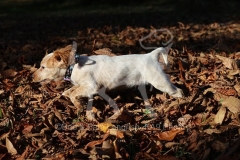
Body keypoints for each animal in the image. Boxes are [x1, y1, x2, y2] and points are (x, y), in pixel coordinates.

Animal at [32, 42, 183, 120]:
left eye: (42, 67)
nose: (32, 78)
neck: (73, 66)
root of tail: (150, 55)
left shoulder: (92, 86)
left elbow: (73, 93)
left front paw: (78, 104)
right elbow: (69, 91)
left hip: (160, 81)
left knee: (178, 91)